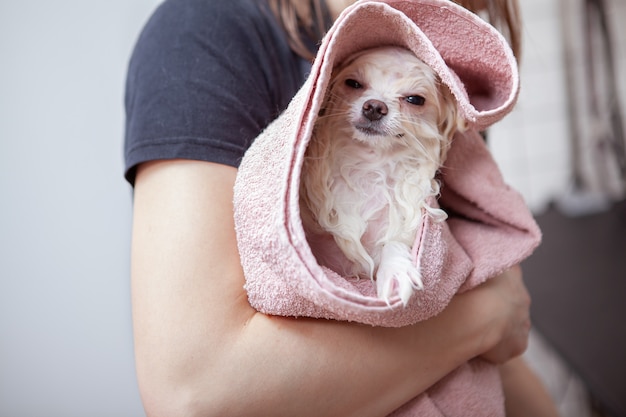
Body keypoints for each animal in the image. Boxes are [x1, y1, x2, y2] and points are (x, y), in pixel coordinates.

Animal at [300, 46, 466, 306]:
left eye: (415, 99)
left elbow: (394, 242)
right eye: (353, 83)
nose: (374, 106)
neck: (371, 164)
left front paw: (396, 272)